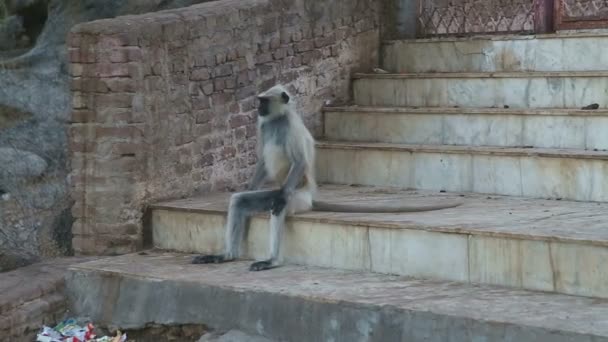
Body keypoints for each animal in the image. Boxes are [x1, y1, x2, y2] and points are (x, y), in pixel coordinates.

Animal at [192, 85, 464, 270]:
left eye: (264, 101)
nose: (257, 108)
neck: (277, 119)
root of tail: (310, 197)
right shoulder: (264, 125)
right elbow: (260, 162)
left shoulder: (290, 126)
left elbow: (300, 162)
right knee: (240, 201)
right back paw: (226, 255)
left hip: (297, 197)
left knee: (279, 204)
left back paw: (273, 258)